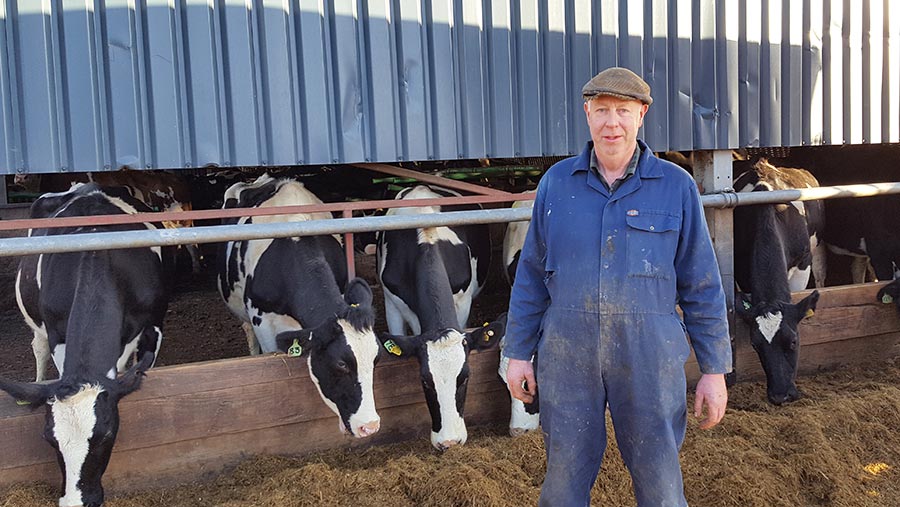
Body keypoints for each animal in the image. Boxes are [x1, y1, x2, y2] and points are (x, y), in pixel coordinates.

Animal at [0, 185, 167, 507]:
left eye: (107, 434)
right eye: (49, 438)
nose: (75, 502)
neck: (97, 248)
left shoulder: (144, 329)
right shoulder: (57, 333)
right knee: (37, 348)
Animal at [372, 185, 500, 450]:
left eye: (465, 377)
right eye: (424, 382)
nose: (449, 442)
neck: (428, 239)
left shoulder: (463, 302)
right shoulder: (391, 302)